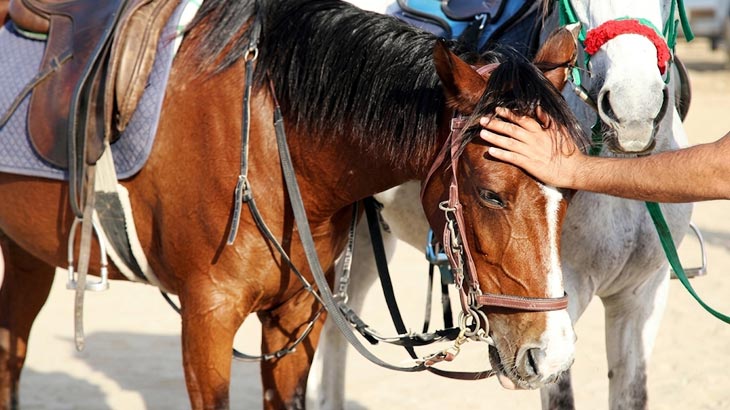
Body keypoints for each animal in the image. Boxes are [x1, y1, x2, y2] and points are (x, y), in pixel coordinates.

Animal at [0, 0, 589, 408]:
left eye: (569, 193)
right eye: (490, 193)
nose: (553, 355)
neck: (270, 133)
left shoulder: (297, 314)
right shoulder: (207, 318)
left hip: (27, 255)